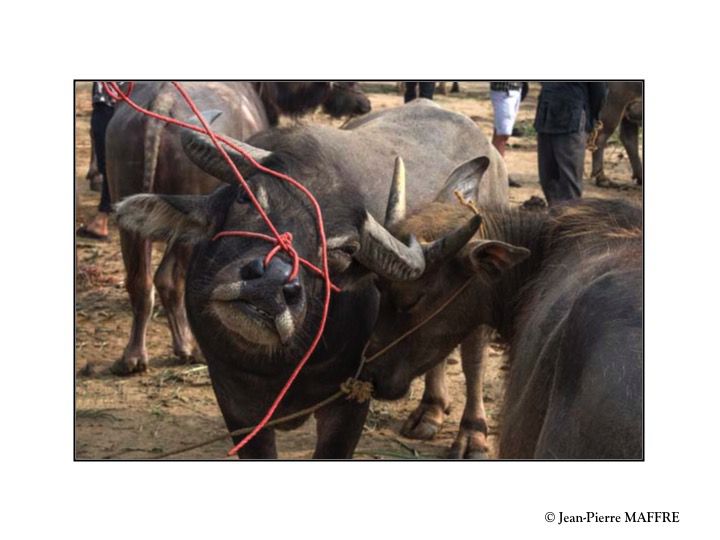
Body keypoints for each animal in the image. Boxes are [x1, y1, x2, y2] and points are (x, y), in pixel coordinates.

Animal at [108, 81, 372, 376]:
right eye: (348, 84)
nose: (365, 104)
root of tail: (162, 103)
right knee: (168, 278)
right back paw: (187, 347)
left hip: (126, 210)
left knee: (139, 282)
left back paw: (133, 356)